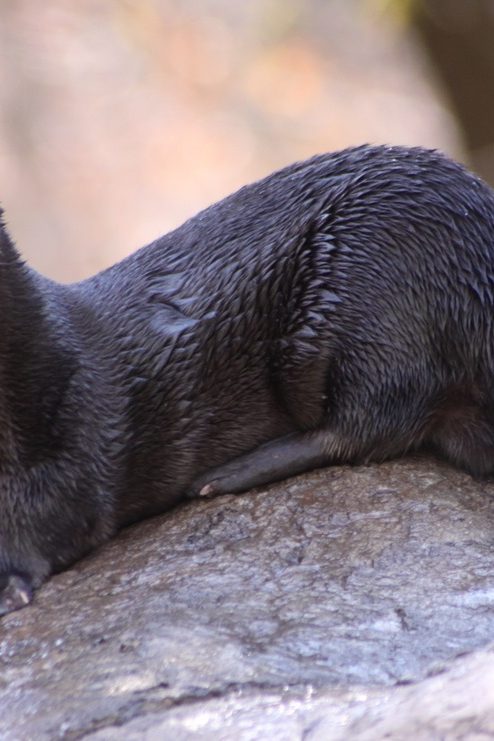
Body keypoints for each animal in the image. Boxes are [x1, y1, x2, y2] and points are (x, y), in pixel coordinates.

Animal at [0, 143, 494, 612]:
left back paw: (223, 477)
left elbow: (56, 512)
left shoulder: (71, 416)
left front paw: (10, 583)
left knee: (373, 419)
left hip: (372, 276)